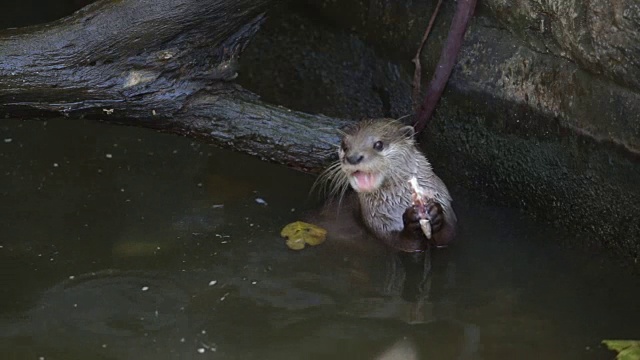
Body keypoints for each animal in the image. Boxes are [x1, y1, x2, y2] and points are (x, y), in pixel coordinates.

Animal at [320, 119, 456, 253]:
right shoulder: (377, 222)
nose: (353, 158)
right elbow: (403, 243)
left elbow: (448, 236)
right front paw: (410, 222)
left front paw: (435, 212)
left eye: (379, 145)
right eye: (345, 146)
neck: (400, 204)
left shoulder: (443, 200)